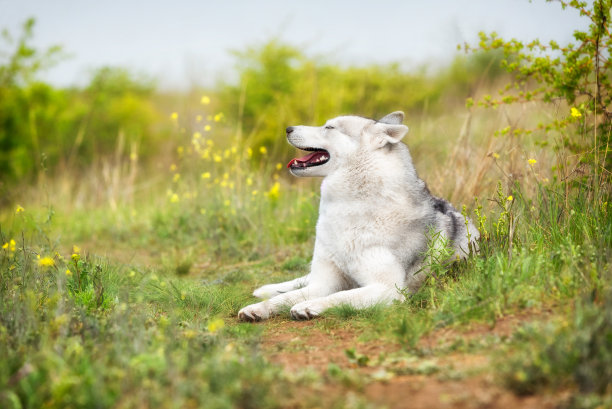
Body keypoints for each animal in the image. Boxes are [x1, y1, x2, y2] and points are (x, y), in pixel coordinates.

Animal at [237, 112, 480, 322]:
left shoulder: (388, 289)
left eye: (329, 127)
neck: (350, 208)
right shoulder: (324, 282)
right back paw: (267, 290)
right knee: (300, 281)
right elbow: (286, 297)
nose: (288, 128)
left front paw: (309, 306)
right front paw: (258, 308)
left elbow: (339, 296)